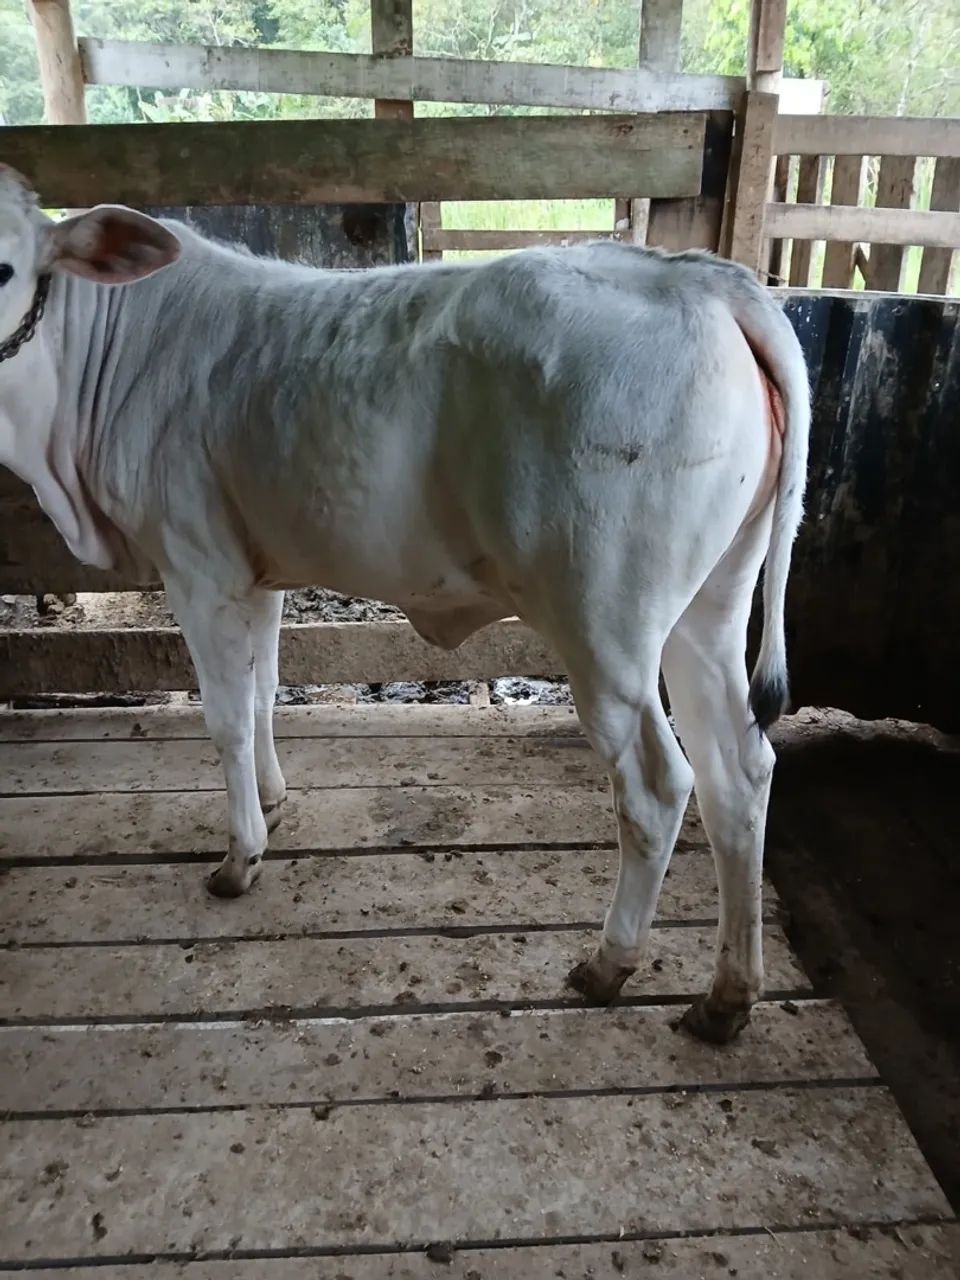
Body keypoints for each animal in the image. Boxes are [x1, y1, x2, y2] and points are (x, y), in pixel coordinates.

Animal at [0, 165, 809, 1043]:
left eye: (3, 268)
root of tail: (700, 277)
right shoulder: (256, 570)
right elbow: (262, 691)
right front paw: (274, 800)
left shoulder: (196, 566)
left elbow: (224, 718)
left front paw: (240, 855)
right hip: (711, 606)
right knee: (740, 771)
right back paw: (727, 996)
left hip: (608, 627)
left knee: (660, 787)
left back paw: (610, 962)